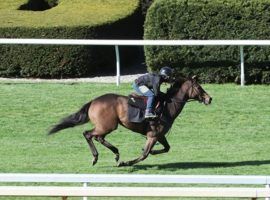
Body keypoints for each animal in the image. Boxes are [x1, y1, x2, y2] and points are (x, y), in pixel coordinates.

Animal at [49, 76, 213, 166]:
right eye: (199, 87)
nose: (209, 98)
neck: (168, 105)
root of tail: (94, 101)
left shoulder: (159, 135)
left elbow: (166, 148)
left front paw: (153, 151)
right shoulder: (153, 135)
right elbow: (145, 154)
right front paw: (125, 163)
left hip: (106, 126)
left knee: (98, 137)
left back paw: (116, 153)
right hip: (107, 125)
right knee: (88, 134)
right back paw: (96, 157)